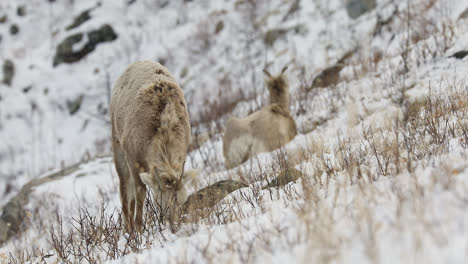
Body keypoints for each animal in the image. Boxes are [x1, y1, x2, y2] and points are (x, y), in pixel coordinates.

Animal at [109, 60, 190, 233]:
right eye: (163, 204)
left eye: (182, 202)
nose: (176, 225)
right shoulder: (133, 159)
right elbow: (139, 194)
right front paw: (138, 230)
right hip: (117, 146)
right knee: (125, 190)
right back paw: (127, 228)